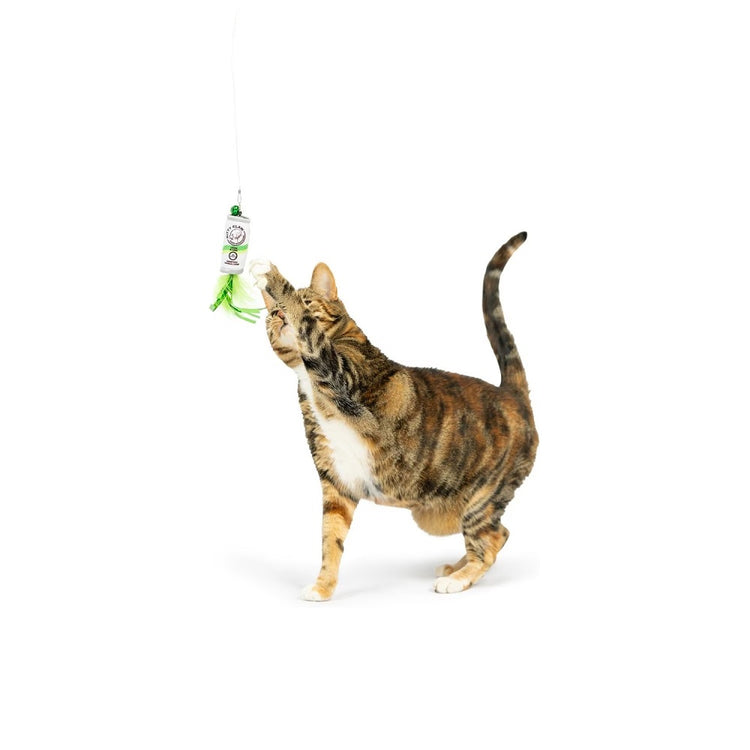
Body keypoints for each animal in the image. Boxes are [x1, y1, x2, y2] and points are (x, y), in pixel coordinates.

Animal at [250, 231, 537, 600]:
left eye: (307, 302)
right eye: (271, 313)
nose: (278, 316)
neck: (307, 377)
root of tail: (511, 393)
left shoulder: (338, 369)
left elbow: (310, 331)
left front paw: (269, 273)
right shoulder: (336, 481)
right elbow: (331, 539)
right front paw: (323, 587)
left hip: (484, 494)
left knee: (492, 537)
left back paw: (458, 578)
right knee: (499, 535)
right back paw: (457, 566)